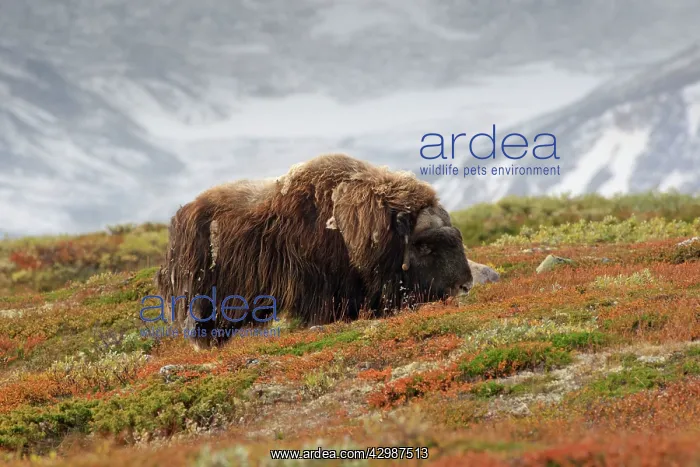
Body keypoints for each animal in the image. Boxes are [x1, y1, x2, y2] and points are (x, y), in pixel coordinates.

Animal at [154, 154, 473, 348]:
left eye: (457, 237)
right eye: (425, 245)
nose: (465, 286)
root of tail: (180, 218)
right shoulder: (322, 287)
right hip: (206, 298)